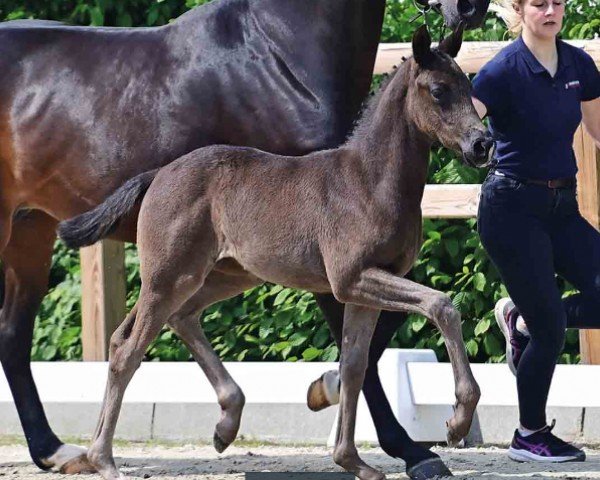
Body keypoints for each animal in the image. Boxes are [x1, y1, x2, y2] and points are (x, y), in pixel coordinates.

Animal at [59, 25, 492, 480]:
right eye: (439, 91)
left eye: (469, 86)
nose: (483, 144)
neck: (370, 181)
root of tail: (159, 174)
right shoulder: (351, 279)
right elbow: (441, 305)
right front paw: (457, 421)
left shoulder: (364, 289)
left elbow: (355, 366)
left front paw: (351, 460)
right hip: (168, 277)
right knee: (129, 348)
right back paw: (104, 459)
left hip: (223, 275)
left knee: (170, 321)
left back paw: (224, 424)